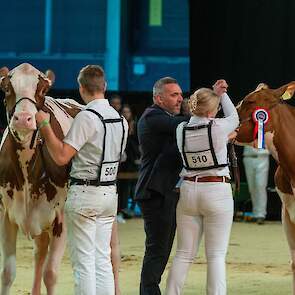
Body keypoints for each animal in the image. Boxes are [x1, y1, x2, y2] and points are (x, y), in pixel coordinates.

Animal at [0, 63, 81, 294]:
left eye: (43, 90)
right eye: (7, 88)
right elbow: (7, 273)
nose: (23, 119)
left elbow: (51, 274)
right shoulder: (6, 213)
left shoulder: (61, 217)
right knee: (39, 253)